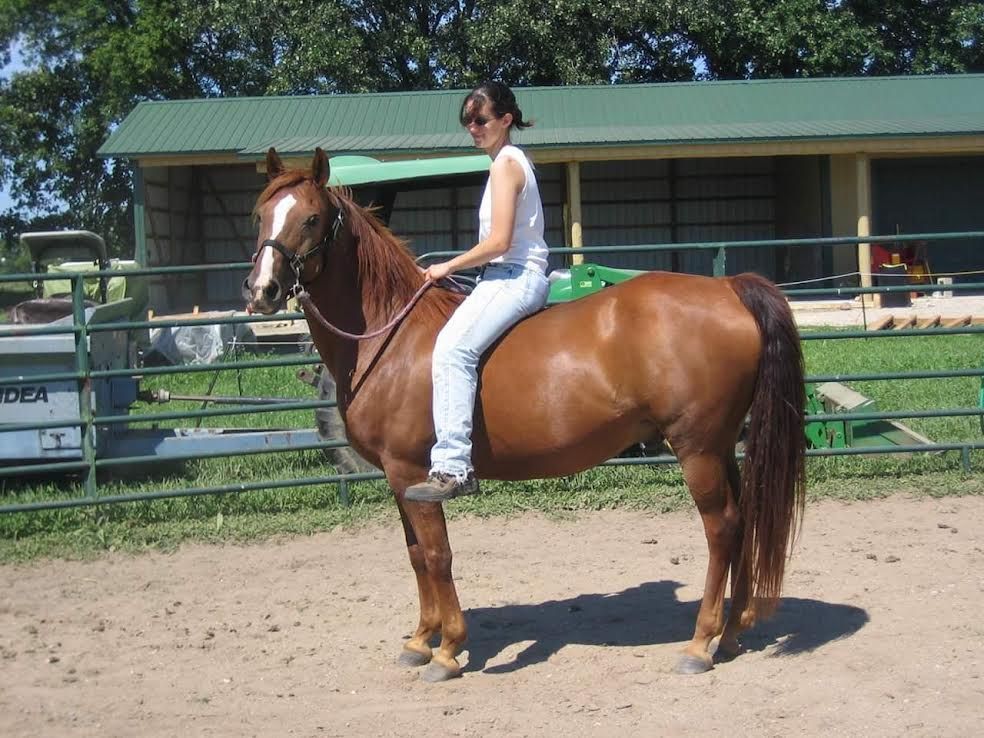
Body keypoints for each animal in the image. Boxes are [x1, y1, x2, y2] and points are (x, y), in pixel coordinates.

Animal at [243, 148, 806, 682]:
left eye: (312, 218)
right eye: (261, 214)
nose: (261, 290)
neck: (393, 335)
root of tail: (729, 287)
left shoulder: (411, 471)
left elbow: (437, 555)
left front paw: (447, 649)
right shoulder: (399, 478)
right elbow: (416, 554)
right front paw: (420, 640)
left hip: (696, 449)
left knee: (722, 528)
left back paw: (700, 643)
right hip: (721, 446)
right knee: (744, 520)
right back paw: (731, 634)